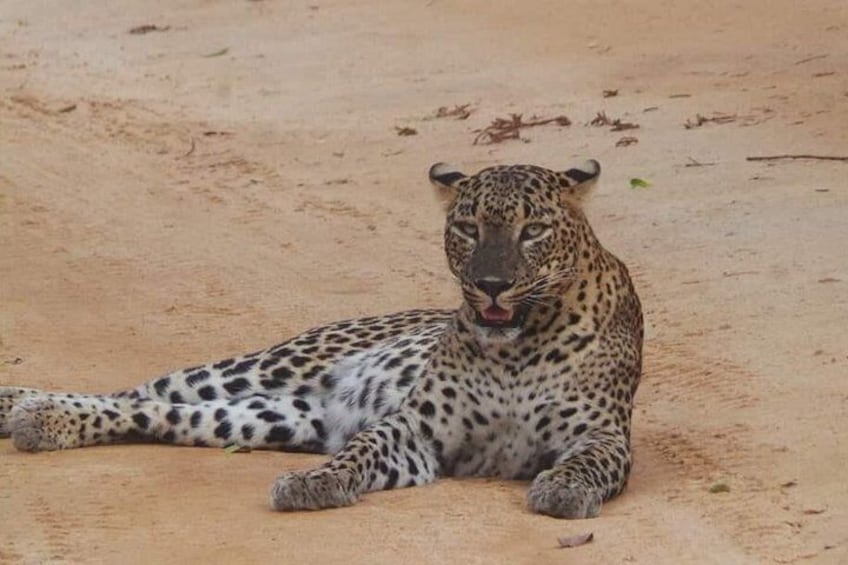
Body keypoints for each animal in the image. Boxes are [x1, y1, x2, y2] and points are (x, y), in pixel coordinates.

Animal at [0, 158, 642, 519]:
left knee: (158, 412)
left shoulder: (603, 436)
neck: (517, 349)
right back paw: (25, 406)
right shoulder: (415, 428)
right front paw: (316, 482)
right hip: (266, 366)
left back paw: (38, 421)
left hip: (273, 417)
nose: (491, 285)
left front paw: (562, 491)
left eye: (533, 231)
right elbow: (360, 450)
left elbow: (585, 464)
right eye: (467, 227)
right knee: (139, 391)